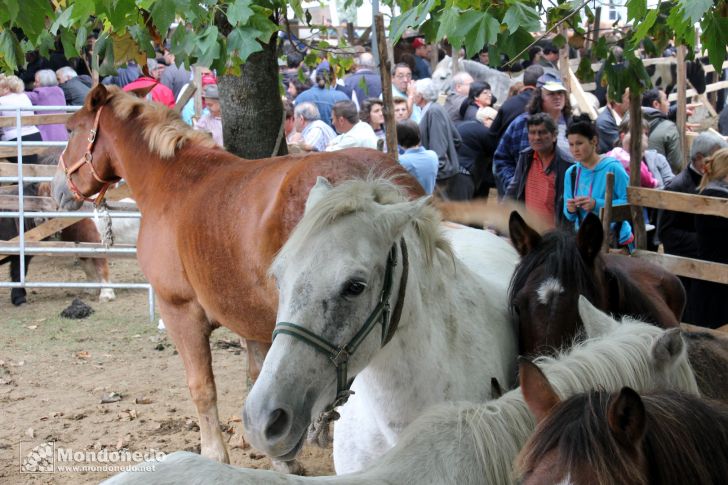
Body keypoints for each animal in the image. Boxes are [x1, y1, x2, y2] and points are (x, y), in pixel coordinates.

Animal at [51, 84, 424, 466]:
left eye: (69, 129)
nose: (58, 189)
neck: (174, 183)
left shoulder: (179, 311)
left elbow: (202, 388)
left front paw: (215, 453)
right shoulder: (253, 322)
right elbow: (259, 378)